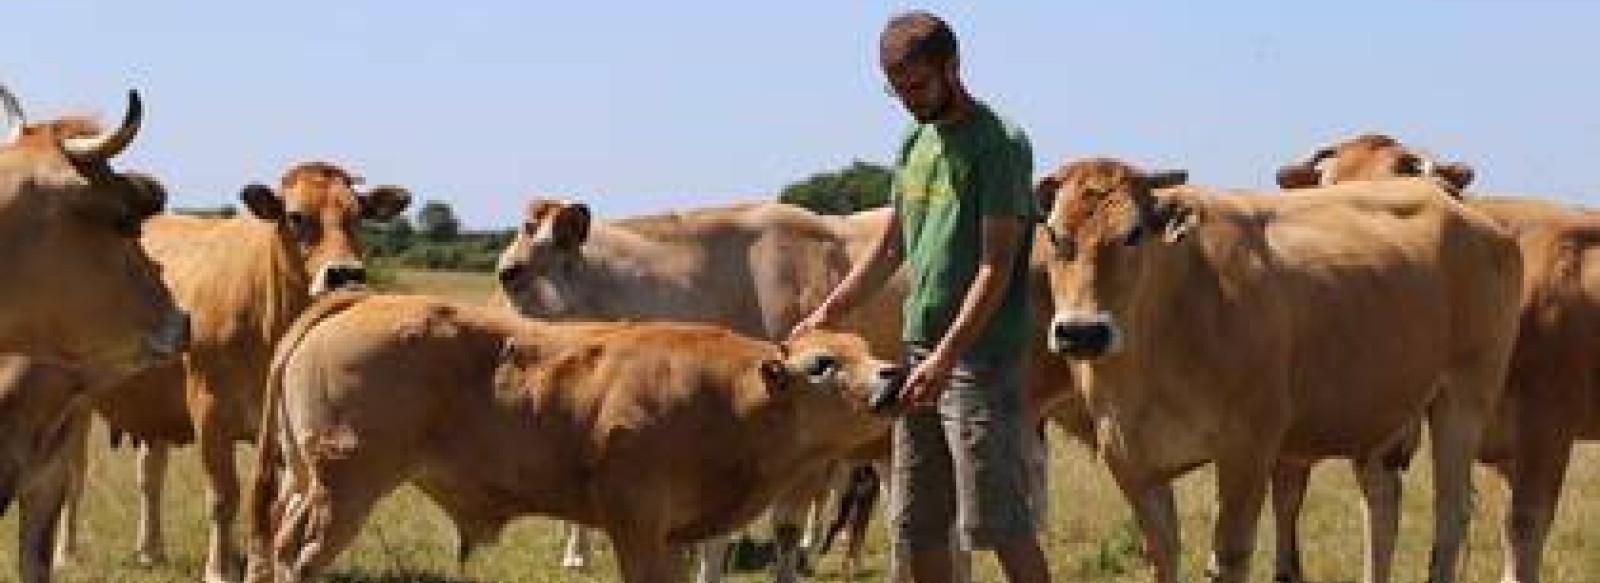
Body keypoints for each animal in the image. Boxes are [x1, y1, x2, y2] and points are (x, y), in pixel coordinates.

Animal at [56, 160, 412, 583]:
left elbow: (276, 508)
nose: (345, 273)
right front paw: (218, 569)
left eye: (358, 215)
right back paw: (66, 554)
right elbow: (224, 496)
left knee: (149, 475)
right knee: (73, 474)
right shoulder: (210, 412)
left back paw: (151, 551)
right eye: (296, 216)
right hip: (76, 399)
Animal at [243, 291, 902, 583]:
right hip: (344, 489)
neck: (729, 399)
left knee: (272, 538)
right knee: (297, 553)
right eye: (822, 364)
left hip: (308, 479)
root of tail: (366, 298)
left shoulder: (674, 535)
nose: (893, 374)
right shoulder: (636, 523)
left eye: (865, 349)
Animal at [1043, 156, 1516, 583]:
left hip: (1464, 396)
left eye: (1134, 234)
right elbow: (1162, 555)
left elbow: (1228, 558)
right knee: (1382, 504)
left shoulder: (1248, 449)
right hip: (1380, 407)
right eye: (1054, 235)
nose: (1083, 332)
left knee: (1451, 512)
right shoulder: (1128, 459)